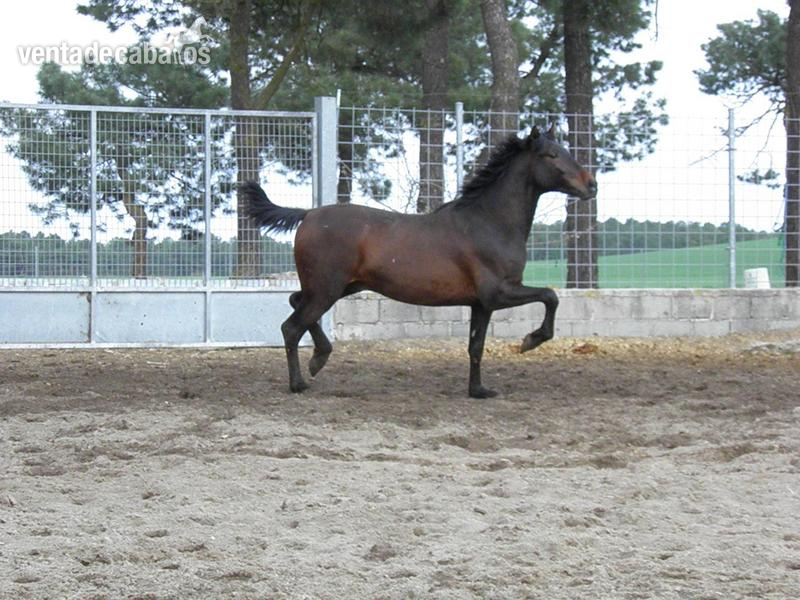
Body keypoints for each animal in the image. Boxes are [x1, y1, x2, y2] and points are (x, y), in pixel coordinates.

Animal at [242, 124, 597, 398]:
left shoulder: (481, 304)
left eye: (565, 149)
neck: (489, 222)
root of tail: (307, 214)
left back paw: (319, 358)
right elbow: (550, 295)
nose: (591, 185)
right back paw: (300, 382)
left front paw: (479, 391)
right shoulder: (499, 293)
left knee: (295, 303)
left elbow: (476, 346)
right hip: (327, 289)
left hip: (339, 287)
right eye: (551, 155)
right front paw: (530, 341)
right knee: (291, 327)